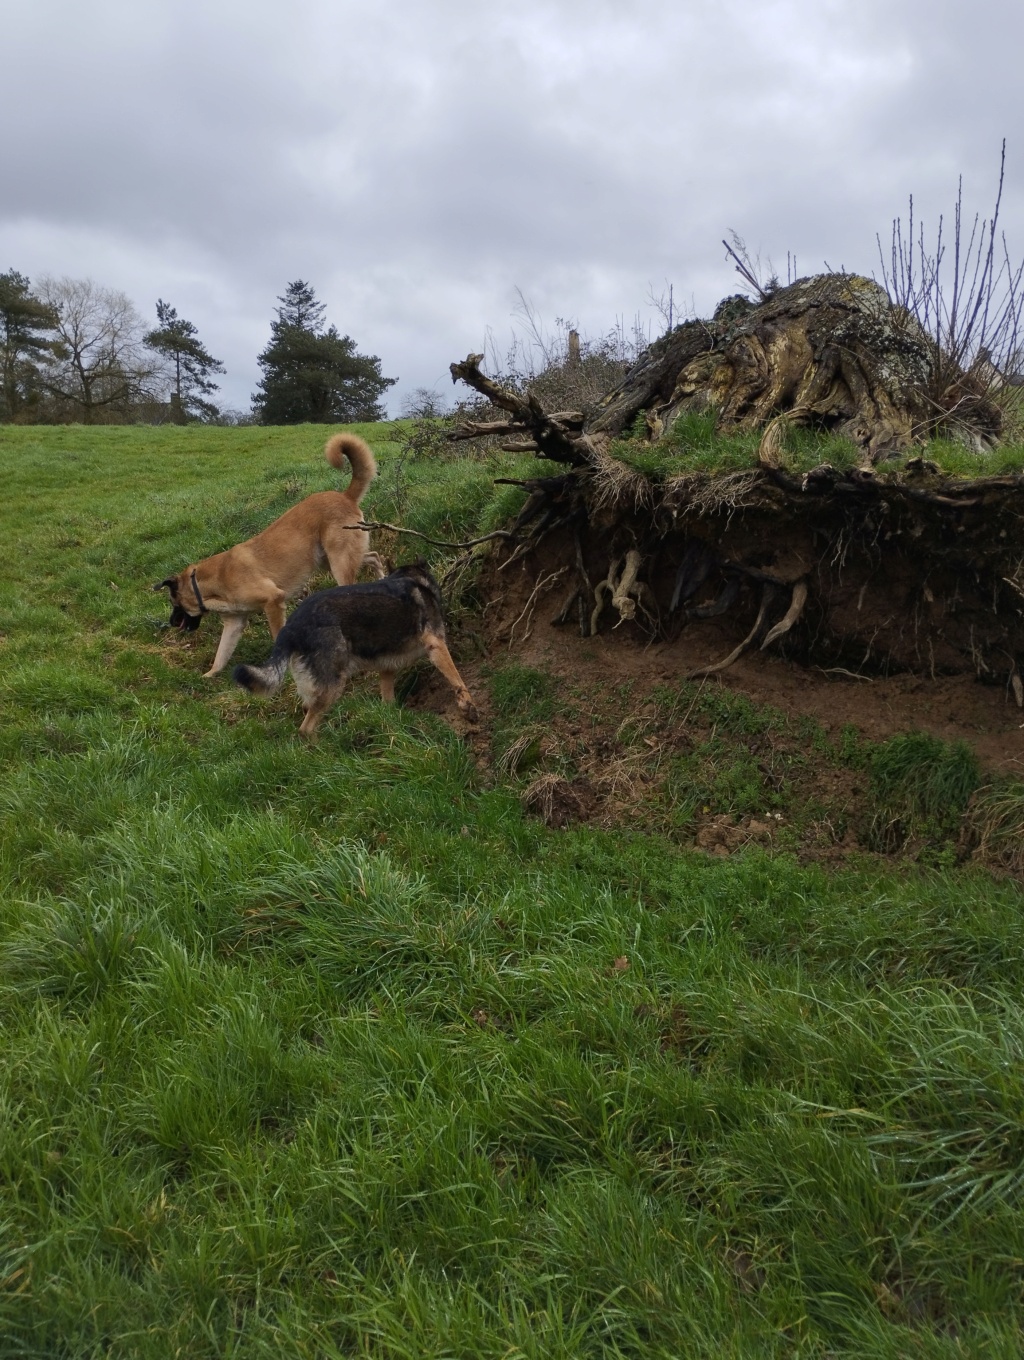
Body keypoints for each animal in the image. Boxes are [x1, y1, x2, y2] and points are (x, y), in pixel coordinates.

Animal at [149, 432, 378, 677]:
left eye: (174, 604)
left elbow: (277, 636)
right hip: (332, 560)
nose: (171, 623)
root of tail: (346, 496)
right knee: (374, 556)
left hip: (338, 562)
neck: (206, 584)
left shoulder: (273, 601)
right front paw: (209, 675)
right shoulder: (234, 624)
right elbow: (221, 656)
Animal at [233, 560, 478, 739]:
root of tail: (291, 626)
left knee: (306, 712)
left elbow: (388, 701)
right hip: (333, 685)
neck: (412, 579)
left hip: (315, 687)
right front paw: (467, 705)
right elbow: (456, 678)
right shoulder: (436, 645)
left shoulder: (386, 670)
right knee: (305, 728)